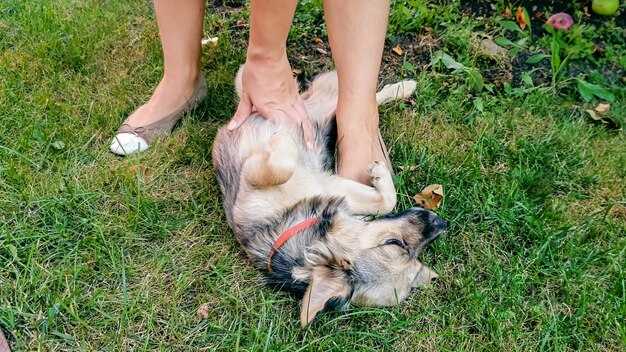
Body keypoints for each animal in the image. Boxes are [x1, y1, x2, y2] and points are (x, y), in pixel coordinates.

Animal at [212, 69, 446, 328]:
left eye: (416, 257)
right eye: (393, 242)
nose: (440, 222)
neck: (290, 223)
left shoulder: (329, 185)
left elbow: (386, 202)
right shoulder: (261, 178)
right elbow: (281, 167)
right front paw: (283, 138)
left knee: (356, 102)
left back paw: (403, 88)